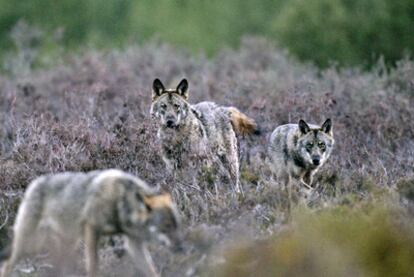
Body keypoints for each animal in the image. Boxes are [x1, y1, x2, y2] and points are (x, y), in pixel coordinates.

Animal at [0, 168, 181, 276]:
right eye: (165, 227)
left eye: (176, 226)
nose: (182, 248)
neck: (120, 202)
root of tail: (34, 183)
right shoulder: (92, 230)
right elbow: (93, 266)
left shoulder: (133, 243)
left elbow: (151, 271)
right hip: (30, 245)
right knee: (7, 265)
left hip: (64, 244)